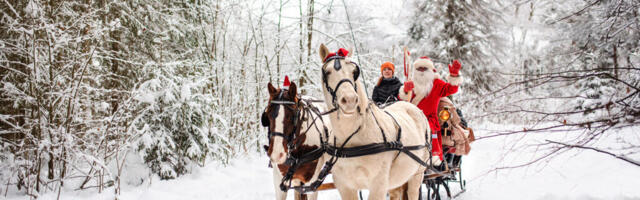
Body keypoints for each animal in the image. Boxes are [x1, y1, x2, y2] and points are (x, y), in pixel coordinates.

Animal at [318, 44, 432, 200]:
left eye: (354, 72)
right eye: (328, 72)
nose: (350, 100)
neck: (351, 137)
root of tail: (411, 105)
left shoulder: (378, 183)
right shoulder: (344, 185)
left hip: (418, 172)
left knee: (413, 192)